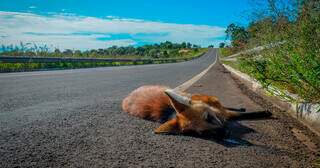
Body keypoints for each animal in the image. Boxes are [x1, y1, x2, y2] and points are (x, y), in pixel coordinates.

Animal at [121, 85, 272, 138]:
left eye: (208, 118)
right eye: (202, 133)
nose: (225, 134)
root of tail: (128, 95)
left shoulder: (222, 113)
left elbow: (242, 114)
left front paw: (264, 112)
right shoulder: (224, 116)